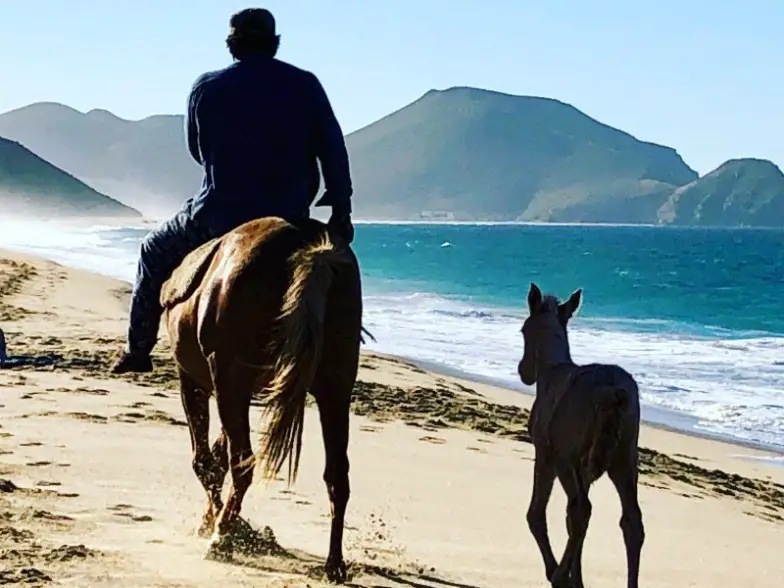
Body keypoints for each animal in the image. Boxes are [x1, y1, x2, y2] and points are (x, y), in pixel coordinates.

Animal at [160, 217, 362, 583]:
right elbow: (218, 457)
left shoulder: (196, 382)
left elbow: (207, 462)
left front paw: (224, 525)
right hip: (336, 389)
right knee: (337, 476)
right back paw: (334, 564)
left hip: (229, 379)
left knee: (243, 463)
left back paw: (222, 539)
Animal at [518, 283, 644, 588]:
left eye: (524, 330)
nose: (523, 372)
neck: (551, 372)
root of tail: (614, 392)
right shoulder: (584, 470)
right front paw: (577, 576)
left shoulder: (548, 455)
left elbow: (538, 513)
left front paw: (561, 573)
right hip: (624, 459)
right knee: (631, 522)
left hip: (571, 460)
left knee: (580, 511)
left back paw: (558, 576)